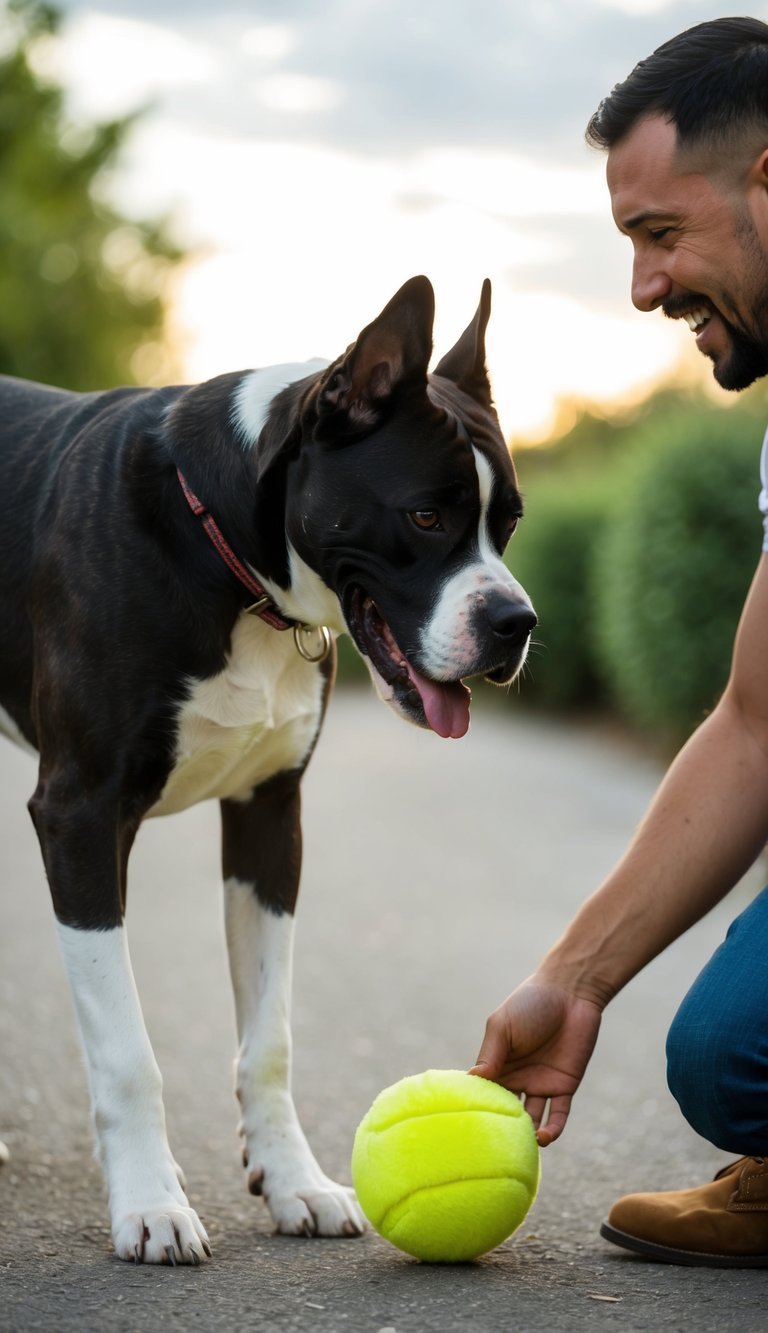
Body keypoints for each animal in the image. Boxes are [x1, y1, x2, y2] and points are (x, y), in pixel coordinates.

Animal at [0, 276, 536, 1263]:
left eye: (508, 521)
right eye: (426, 515)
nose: (516, 622)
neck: (225, 549)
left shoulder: (268, 815)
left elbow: (270, 1035)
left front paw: (295, 1182)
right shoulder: (80, 814)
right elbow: (126, 1048)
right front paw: (150, 1201)